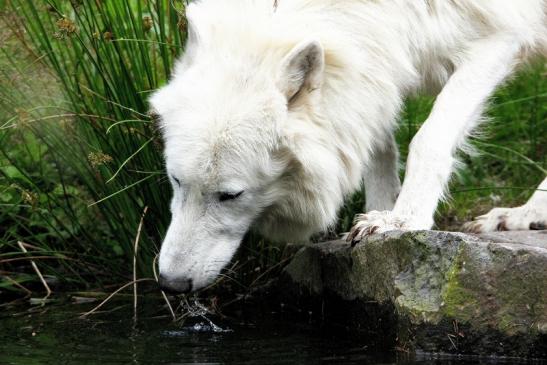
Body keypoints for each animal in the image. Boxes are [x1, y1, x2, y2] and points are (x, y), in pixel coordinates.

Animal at [151, 0, 547, 292]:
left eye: (230, 195)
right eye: (175, 181)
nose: (171, 284)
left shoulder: (500, 36)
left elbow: (429, 137)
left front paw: (403, 220)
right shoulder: (375, 68)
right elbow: (378, 148)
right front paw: (380, 218)